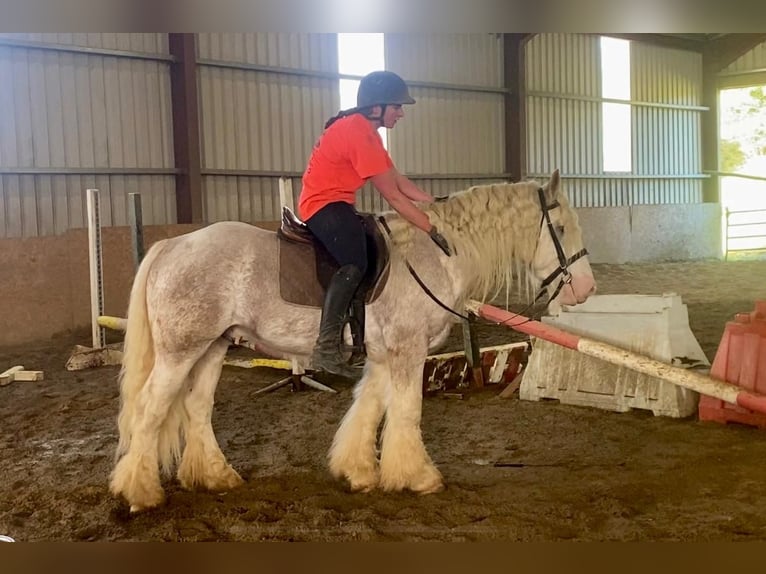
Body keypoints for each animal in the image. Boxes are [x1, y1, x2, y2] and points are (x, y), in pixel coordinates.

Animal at [109, 170, 600, 512]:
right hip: (180, 352)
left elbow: (368, 409)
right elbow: (407, 412)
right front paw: (418, 476)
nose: (586, 288)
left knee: (196, 408)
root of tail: (171, 246)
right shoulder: (407, 351)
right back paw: (140, 492)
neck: (434, 253)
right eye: (561, 226)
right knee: (150, 410)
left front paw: (360, 472)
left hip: (213, 347)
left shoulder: (383, 355)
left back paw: (215, 476)